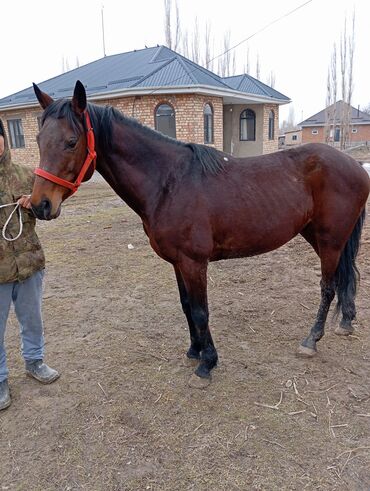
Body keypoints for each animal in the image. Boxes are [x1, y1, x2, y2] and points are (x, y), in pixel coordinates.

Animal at [30, 81, 368, 388]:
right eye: (38, 139)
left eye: (71, 141)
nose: (40, 204)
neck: (168, 182)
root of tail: (355, 166)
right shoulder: (177, 262)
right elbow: (186, 306)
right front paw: (195, 350)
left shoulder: (194, 262)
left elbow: (200, 310)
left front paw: (207, 364)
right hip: (319, 237)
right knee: (345, 276)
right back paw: (345, 322)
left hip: (330, 240)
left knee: (327, 287)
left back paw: (311, 341)